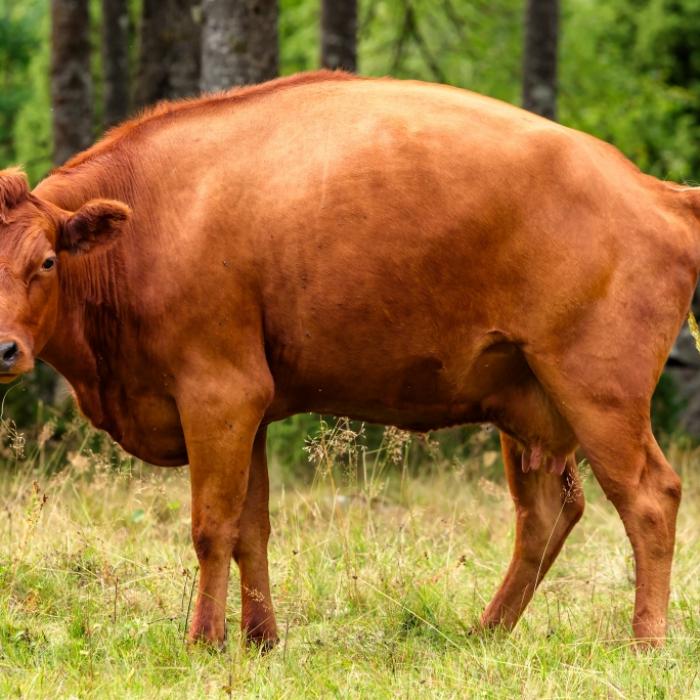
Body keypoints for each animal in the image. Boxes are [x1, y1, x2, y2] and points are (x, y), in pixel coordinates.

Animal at [0, 71, 695, 649]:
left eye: (47, 261)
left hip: (599, 392)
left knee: (649, 499)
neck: (149, 225)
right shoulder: (249, 412)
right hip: (528, 405)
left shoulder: (219, 396)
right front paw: (261, 639)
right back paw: (486, 632)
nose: (4, 347)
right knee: (547, 513)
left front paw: (204, 641)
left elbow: (212, 527)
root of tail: (655, 191)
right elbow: (252, 528)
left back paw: (645, 642)